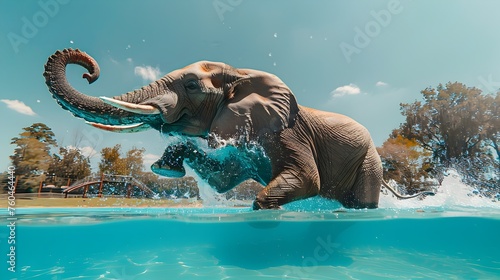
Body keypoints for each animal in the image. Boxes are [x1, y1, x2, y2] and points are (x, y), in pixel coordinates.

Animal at [44, 48, 434, 210]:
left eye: (191, 86)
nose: (89, 72)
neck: (241, 73)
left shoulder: (287, 133)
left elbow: (307, 180)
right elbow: (221, 179)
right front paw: (165, 167)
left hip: (369, 162)